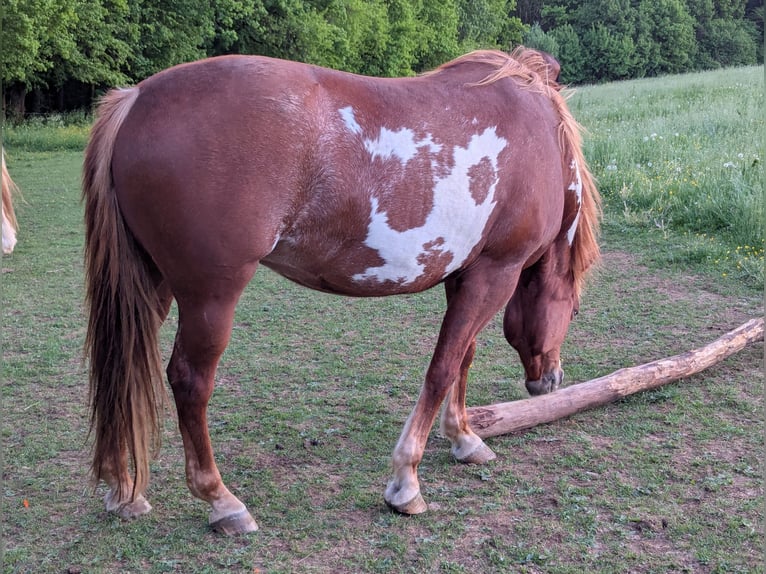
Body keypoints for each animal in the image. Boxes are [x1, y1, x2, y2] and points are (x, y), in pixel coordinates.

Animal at [82, 47, 600, 535]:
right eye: (573, 311)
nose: (550, 380)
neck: (540, 137)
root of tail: (136, 100)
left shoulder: (467, 274)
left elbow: (462, 359)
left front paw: (465, 438)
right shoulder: (496, 272)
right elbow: (442, 368)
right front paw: (405, 483)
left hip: (152, 285)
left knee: (123, 367)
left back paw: (123, 492)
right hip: (210, 295)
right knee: (189, 381)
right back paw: (222, 502)